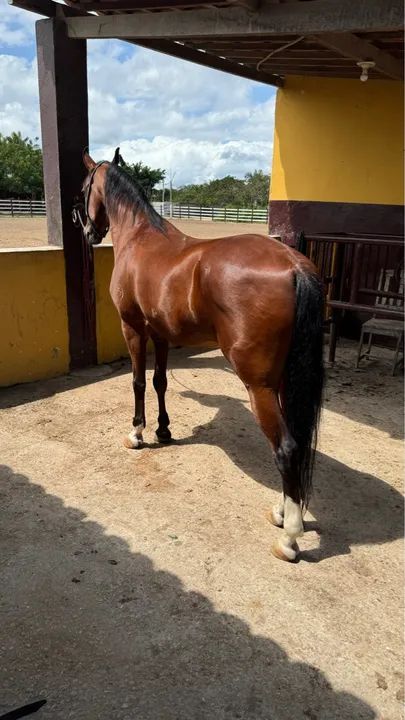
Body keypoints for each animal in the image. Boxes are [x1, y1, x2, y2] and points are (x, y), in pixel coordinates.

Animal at [77, 149, 324, 562]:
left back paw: (290, 538)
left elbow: (138, 381)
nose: (86, 232)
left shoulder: (134, 328)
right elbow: (160, 381)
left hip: (258, 385)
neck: (141, 238)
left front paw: (137, 432)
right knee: (297, 441)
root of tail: (294, 266)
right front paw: (163, 430)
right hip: (284, 382)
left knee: (286, 448)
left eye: (83, 188)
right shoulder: (160, 333)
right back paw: (281, 511)